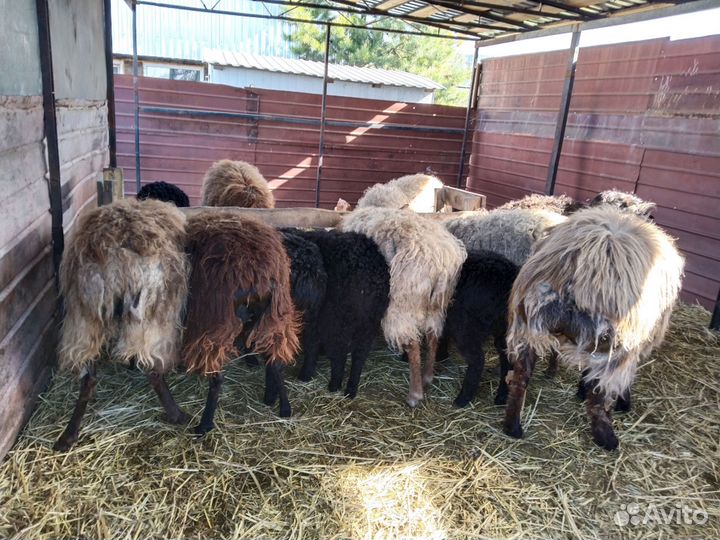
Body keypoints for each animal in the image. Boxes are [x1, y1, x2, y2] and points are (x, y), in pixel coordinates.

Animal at [54, 199, 190, 451]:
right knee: (153, 371)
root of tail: (113, 252)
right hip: (153, 315)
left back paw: (68, 435)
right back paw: (177, 415)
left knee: (88, 377)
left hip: (83, 317)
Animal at [181, 213, 300, 434]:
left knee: (217, 377)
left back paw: (205, 424)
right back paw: (283, 406)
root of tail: (256, 271)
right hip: (275, 317)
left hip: (214, 322)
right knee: (276, 361)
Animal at [286, 229, 390, 397]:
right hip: (368, 322)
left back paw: (334, 385)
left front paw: (306, 374)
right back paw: (351, 389)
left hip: (338, 320)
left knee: (339, 354)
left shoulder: (314, 318)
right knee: (360, 355)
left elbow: (311, 346)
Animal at [341, 207, 467, 406]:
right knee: (433, 336)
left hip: (402, 305)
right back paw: (427, 376)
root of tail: (439, 259)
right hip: (436, 306)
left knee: (413, 345)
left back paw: (415, 394)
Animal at [501, 206, 684, 450]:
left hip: (526, 327)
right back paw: (606, 437)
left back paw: (512, 426)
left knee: (520, 377)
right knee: (598, 396)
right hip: (611, 343)